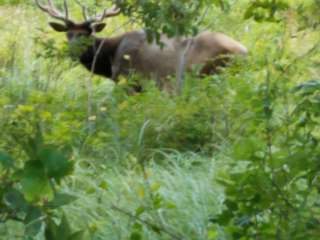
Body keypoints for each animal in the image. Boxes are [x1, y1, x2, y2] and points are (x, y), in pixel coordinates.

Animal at [35, 0, 248, 90]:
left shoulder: (129, 80)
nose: (73, 51)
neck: (110, 58)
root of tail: (244, 52)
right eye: (68, 34)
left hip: (205, 72)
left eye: (87, 34)